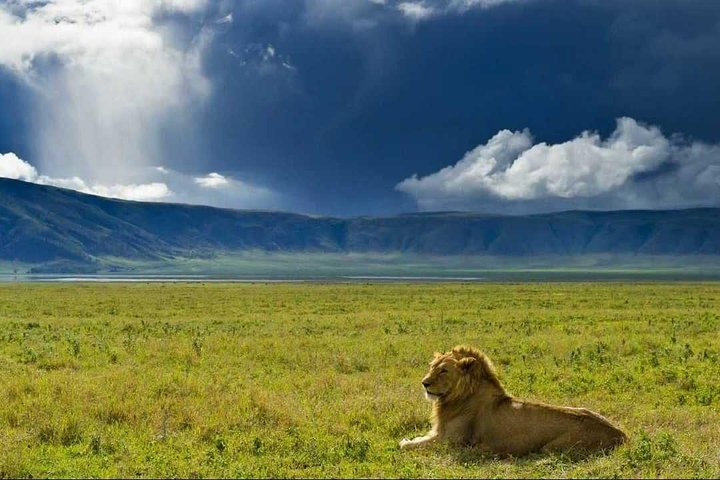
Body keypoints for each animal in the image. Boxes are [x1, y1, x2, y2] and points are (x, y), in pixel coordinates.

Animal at [399, 346, 627, 457]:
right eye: (432, 367)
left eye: (444, 370)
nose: (424, 383)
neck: (456, 397)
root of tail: (620, 434)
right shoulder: (439, 434)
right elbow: (419, 438)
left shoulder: (451, 442)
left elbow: (410, 446)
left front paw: (405, 442)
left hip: (551, 448)